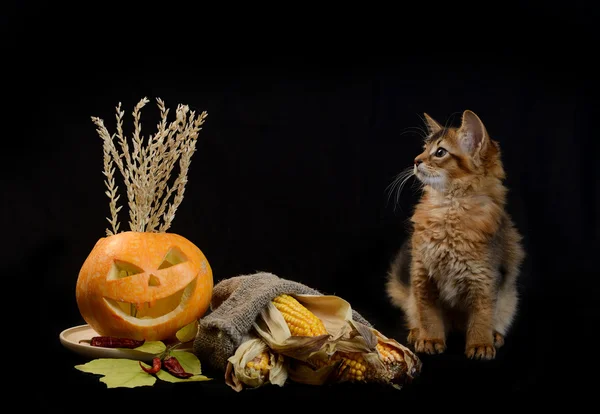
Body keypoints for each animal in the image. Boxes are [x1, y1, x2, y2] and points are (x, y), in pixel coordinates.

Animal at [384, 109, 524, 360]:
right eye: (424, 148)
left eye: (440, 152)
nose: (416, 160)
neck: (449, 207)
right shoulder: (422, 274)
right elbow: (428, 313)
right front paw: (430, 339)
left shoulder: (485, 278)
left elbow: (482, 316)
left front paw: (480, 344)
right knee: (415, 312)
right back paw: (416, 332)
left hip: (509, 298)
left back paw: (495, 336)